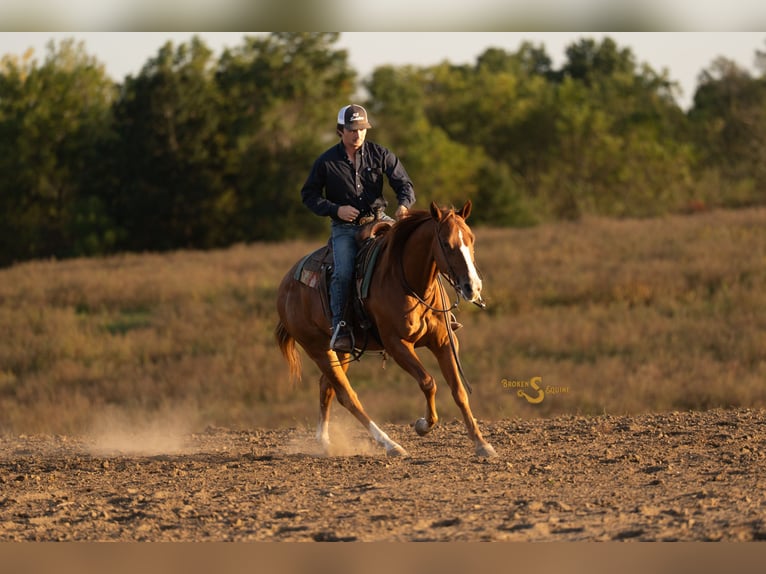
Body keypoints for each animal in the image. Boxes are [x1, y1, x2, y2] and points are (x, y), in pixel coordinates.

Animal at [275, 200, 497, 458]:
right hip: (318, 350)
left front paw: (482, 444)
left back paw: (325, 442)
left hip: (340, 350)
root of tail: (285, 286)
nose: (473, 287)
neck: (412, 284)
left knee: (326, 388)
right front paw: (423, 425)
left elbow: (459, 391)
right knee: (347, 396)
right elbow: (428, 382)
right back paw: (390, 445)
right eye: (445, 243)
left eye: (471, 239)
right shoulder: (397, 344)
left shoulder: (443, 342)